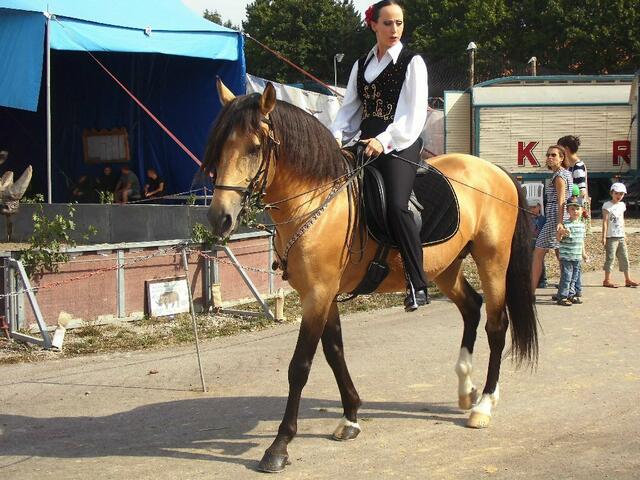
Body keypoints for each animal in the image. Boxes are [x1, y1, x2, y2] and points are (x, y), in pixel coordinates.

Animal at [204, 80, 538, 473]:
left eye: (255, 148)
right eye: (220, 146)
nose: (220, 218)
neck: (317, 200)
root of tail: (494, 170)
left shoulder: (318, 294)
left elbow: (300, 365)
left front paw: (279, 445)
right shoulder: (321, 294)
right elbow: (334, 351)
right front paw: (350, 416)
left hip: (492, 261)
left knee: (496, 325)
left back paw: (484, 404)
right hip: (445, 267)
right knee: (472, 308)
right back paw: (466, 390)